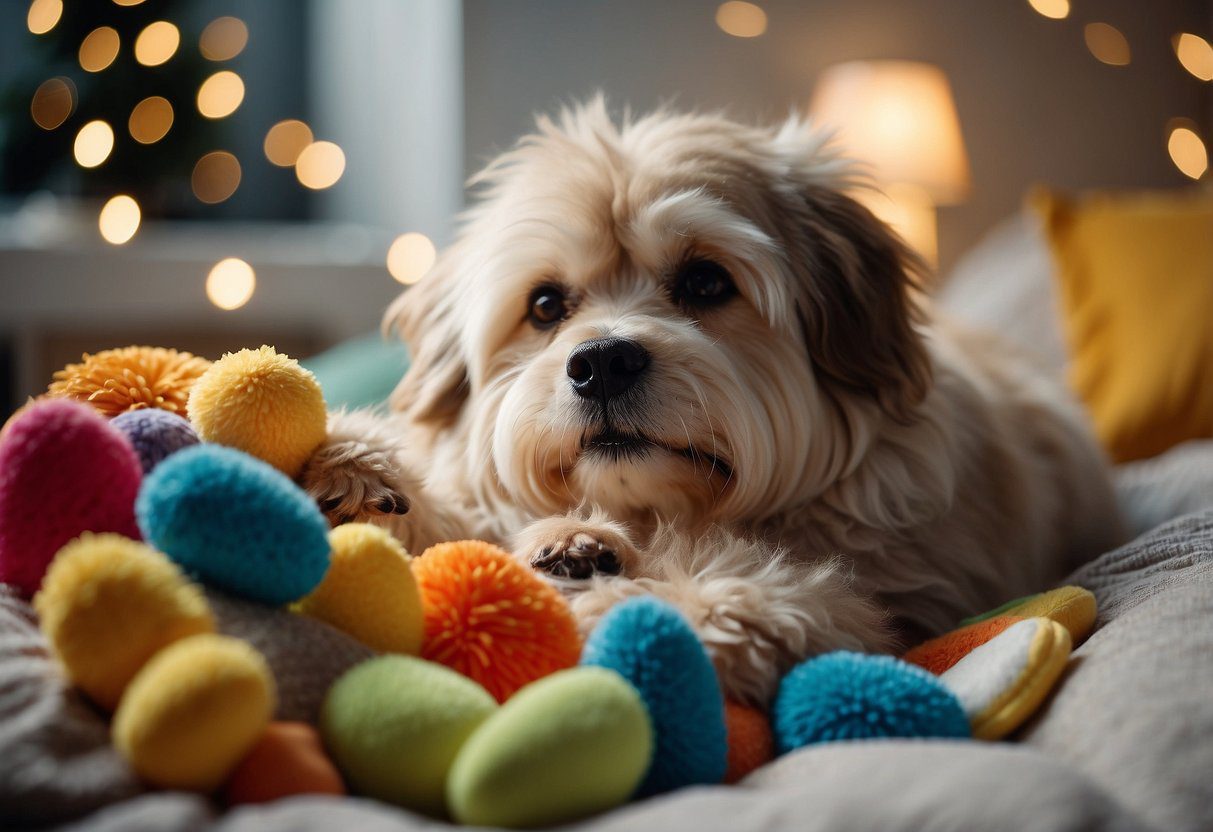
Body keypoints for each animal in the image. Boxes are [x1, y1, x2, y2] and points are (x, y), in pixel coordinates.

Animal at [298, 101, 1120, 708]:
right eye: (545, 305)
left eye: (704, 282)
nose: (601, 363)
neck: (659, 512)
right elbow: (450, 526)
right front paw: (359, 471)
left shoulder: (861, 603)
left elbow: (745, 603)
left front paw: (592, 605)